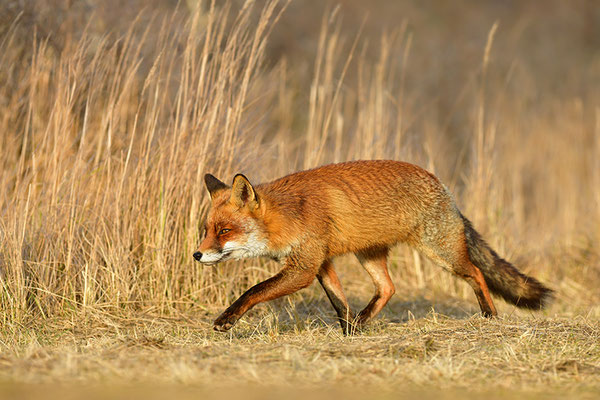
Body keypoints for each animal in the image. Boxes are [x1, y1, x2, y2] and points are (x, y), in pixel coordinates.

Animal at [193, 158, 552, 332]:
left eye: (224, 231)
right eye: (206, 230)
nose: (197, 254)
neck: (288, 215)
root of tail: (442, 186)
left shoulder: (303, 268)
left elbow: (253, 291)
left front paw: (227, 319)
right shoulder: (321, 263)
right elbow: (339, 303)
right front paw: (348, 333)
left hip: (441, 252)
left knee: (477, 272)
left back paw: (490, 316)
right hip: (369, 255)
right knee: (388, 288)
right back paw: (363, 322)